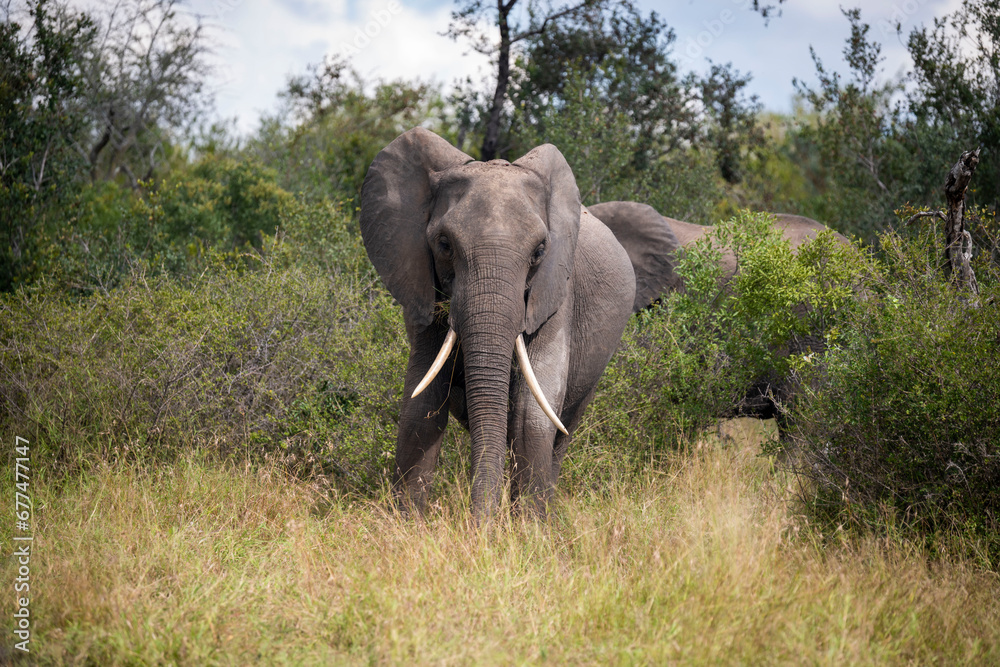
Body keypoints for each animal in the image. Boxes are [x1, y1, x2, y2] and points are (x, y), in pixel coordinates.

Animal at [359, 130, 678, 517]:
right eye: (444, 244)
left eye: (539, 252)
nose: (480, 526)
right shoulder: (420, 283)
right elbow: (422, 402)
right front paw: (408, 523)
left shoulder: (555, 292)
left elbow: (530, 414)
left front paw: (528, 529)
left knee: (559, 429)